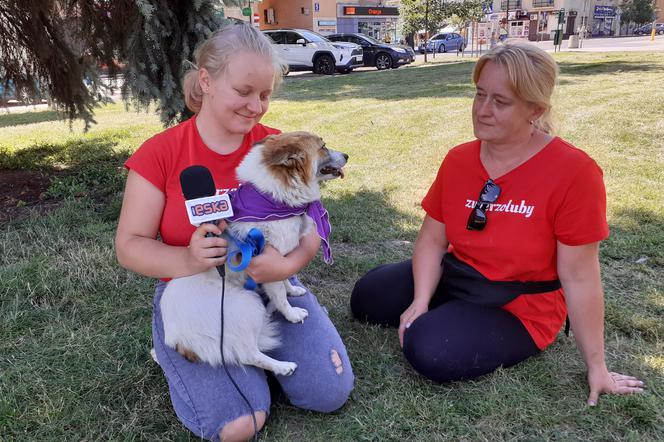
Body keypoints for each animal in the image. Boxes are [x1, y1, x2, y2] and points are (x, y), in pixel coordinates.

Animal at [160, 132, 348, 376]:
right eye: (323, 146)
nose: (347, 155)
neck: (273, 200)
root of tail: (176, 339)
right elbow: (281, 296)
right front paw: (292, 314)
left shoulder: (280, 259)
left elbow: (285, 279)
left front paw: (293, 290)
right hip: (245, 305)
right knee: (249, 354)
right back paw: (282, 366)